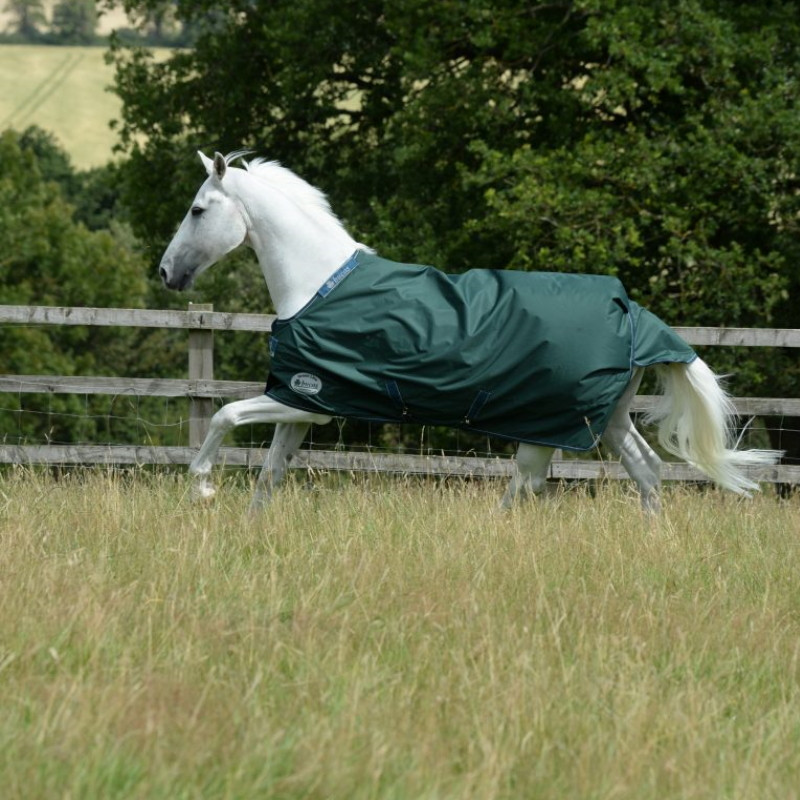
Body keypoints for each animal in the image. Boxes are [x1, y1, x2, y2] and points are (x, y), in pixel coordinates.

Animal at [159, 151, 779, 512]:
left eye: (196, 210)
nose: (167, 273)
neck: (317, 284)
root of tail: (633, 313)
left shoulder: (303, 400)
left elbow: (223, 415)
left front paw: (203, 485)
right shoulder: (303, 406)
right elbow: (268, 478)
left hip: (543, 427)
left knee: (523, 489)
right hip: (605, 419)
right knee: (646, 472)